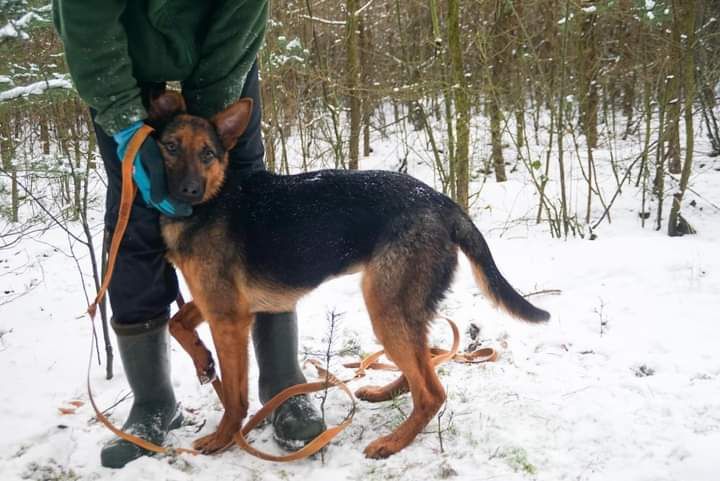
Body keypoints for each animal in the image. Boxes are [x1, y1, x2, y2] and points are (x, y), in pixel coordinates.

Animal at [148, 91, 552, 458]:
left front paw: (223, 437)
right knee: (422, 368)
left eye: (207, 154)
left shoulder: (228, 318)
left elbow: (234, 396)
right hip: (401, 309)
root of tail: (445, 204)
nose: (188, 191)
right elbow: (177, 323)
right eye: (170, 147)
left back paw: (393, 442)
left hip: (384, 305)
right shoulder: (220, 304)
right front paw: (202, 359)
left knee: (432, 392)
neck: (212, 202)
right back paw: (387, 392)